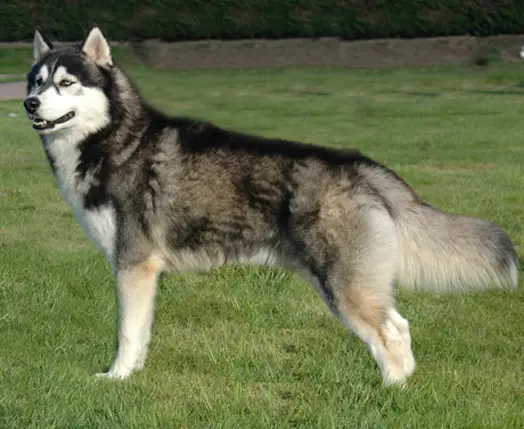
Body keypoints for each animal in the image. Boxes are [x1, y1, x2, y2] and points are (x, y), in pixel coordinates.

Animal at [25, 28, 520, 386]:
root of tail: (362, 166)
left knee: (389, 333)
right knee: (400, 326)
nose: (29, 103)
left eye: (66, 83)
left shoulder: (134, 264)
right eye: (37, 81)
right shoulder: (144, 272)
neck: (114, 140)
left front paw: (117, 378)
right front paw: (135, 375)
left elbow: (127, 332)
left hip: (343, 284)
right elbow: (142, 332)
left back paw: (390, 393)